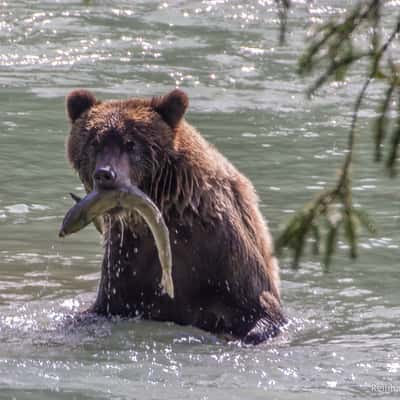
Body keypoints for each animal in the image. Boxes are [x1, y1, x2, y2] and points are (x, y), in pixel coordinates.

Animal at [65, 88, 284, 344]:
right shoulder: (126, 260)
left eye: (131, 144)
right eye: (94, 143)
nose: (105, 174)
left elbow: (259, 307)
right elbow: (101, 308)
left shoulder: (220, 253)